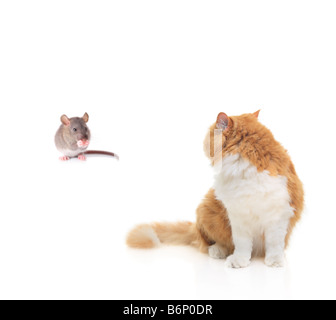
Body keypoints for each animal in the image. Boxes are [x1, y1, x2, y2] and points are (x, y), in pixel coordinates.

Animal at [126, 110, 304, 268]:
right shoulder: (237, 214)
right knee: (209, 243)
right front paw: (239, 261)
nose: (204, 144)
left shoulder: (279, 214)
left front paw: (275, 261)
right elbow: (242, 243)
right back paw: (218, 251)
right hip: (207, 210)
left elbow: (274, 243)